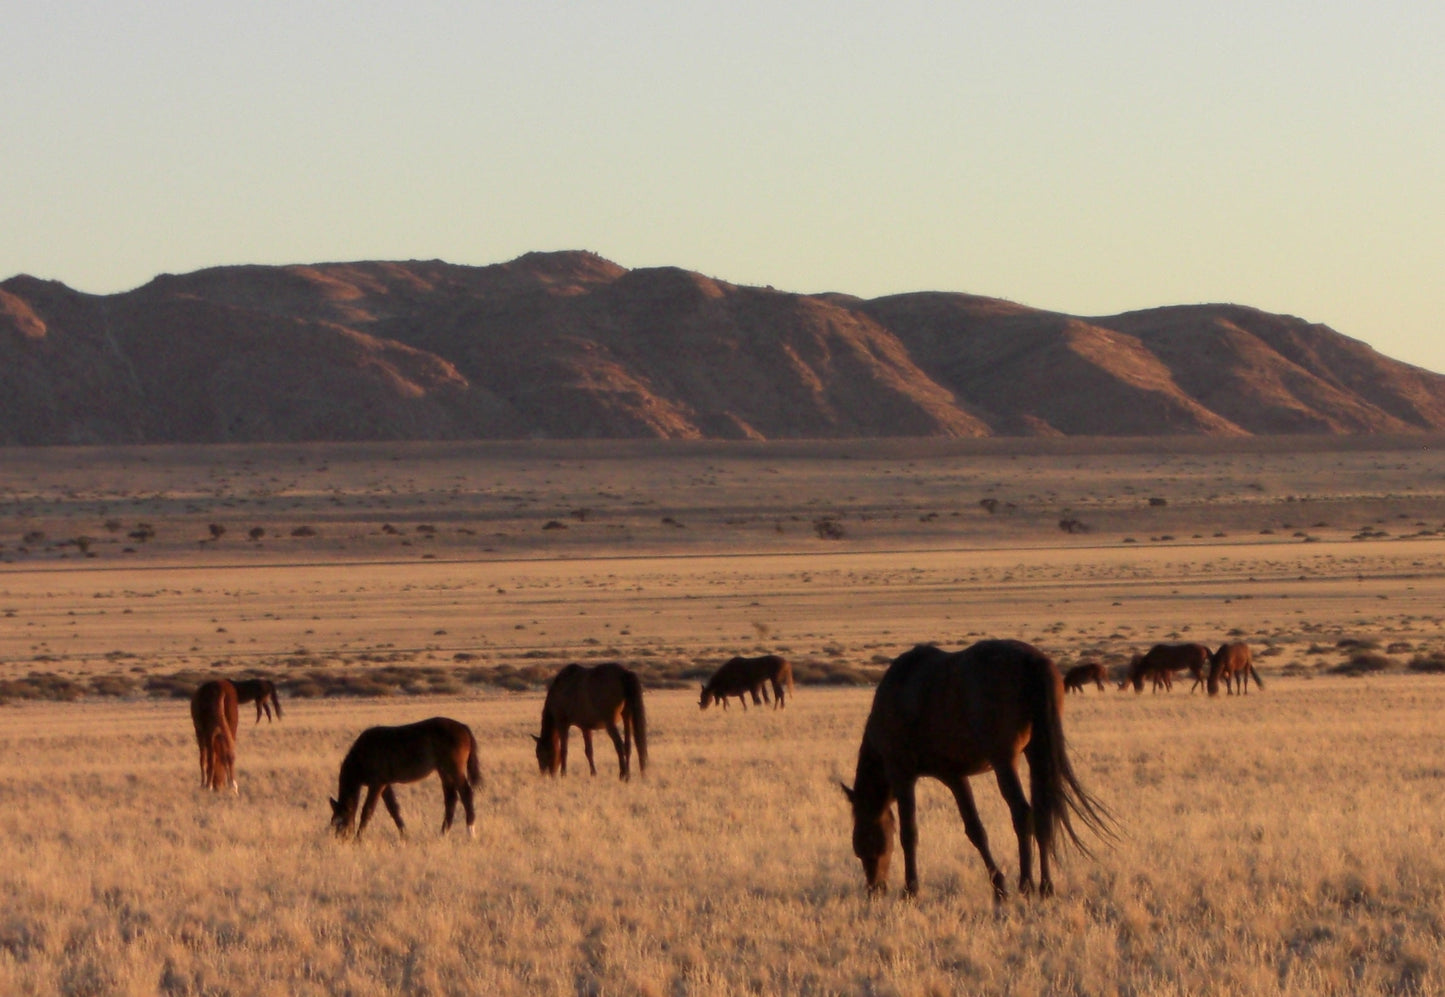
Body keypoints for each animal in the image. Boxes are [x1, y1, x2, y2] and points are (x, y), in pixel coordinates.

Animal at [329, 717, 481, 840]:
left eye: (341, 822)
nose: (340, 840)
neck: (362, 755)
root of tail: (462, 727)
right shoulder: (385, 785)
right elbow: (393, 809)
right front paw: (404, 835)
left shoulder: (376, 784)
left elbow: (368, 810)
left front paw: (359, 838)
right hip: (444, 772)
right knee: (451, 799)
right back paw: (443, 834)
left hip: (454, 770)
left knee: (466, 794)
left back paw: (471, 832)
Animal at [841, 641, 1113, 900]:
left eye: (862, 844)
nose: (874, 889)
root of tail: (1033, 660)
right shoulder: (955, 777)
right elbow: (975, 830)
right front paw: (999, 886)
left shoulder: (903, 775)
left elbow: (909, 834)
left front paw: (911, 890)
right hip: (1036, 751)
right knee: (1043, 814)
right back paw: (1045, 886)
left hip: (1004, 761)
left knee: (1022, 814)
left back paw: (1026, 884)